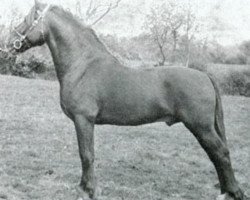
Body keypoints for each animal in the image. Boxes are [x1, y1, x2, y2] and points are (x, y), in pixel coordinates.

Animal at [6, 0, 246, 199]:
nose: (8, 43)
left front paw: (87, 190)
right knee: (216, 155)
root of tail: (205, 75)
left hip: (200, 126)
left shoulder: (83, 120)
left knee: (221, 153)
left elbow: (86, 154)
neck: (83, 65)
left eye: (26, 19)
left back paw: (232, 192)